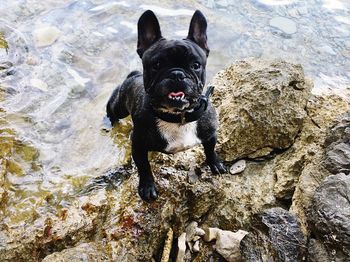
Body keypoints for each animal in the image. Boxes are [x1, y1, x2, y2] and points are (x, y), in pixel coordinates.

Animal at [107, 9, 227, 202]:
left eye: (196, 65)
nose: (177, 74)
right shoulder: (138, 144)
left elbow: (210, 149)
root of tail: (134, 74)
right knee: (111, 107)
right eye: (156, 65)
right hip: (120, 105)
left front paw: (215, 164)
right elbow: (144, 167)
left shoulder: (209, 134)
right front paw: (147, 187)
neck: (178, 116)